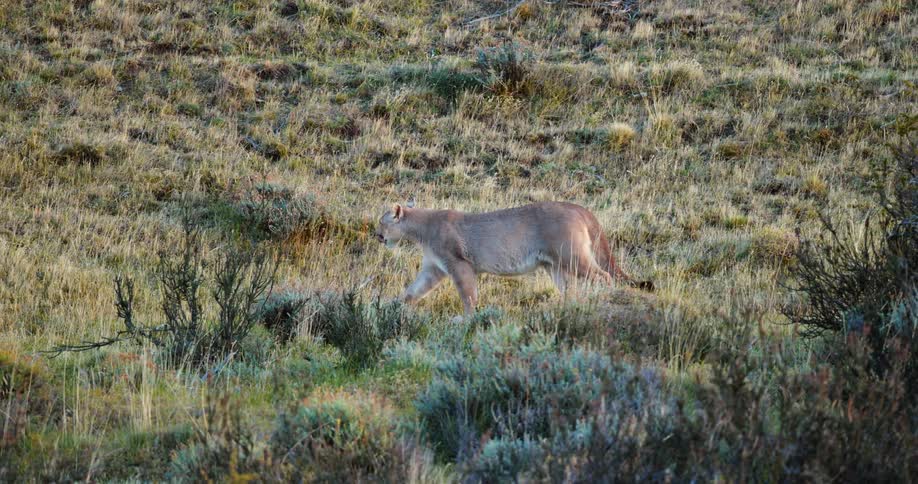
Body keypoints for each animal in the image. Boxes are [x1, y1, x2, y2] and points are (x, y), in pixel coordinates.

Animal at [375, 201, 652, 316]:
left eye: (381, 221)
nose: (377, 235)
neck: (422, 229)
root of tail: (576, 206)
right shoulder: (434, 269)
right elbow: (412, 291)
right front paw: (390, 307)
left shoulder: (459, 265)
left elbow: (468, 296)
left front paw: (467, 320)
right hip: (555, 265)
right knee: (570, 290)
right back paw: (567, 310)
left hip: (572, 256)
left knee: (604, 276)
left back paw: (602, 301)